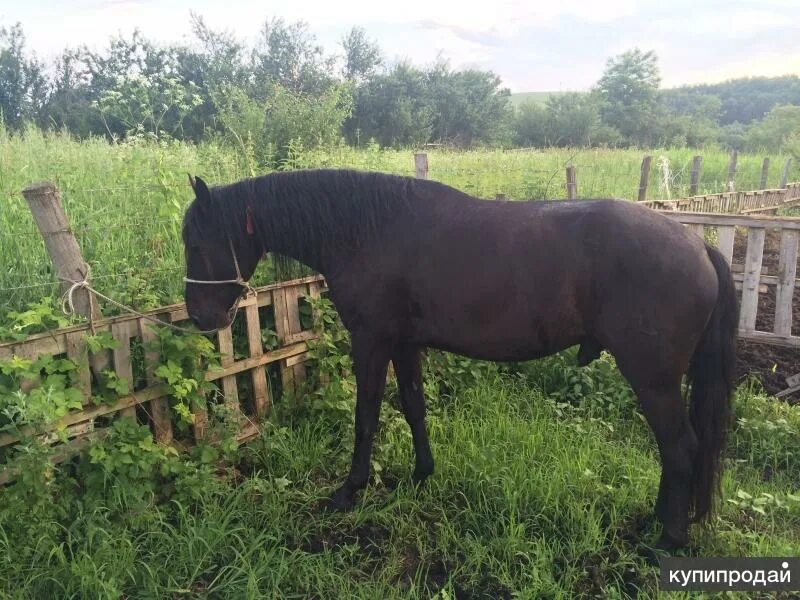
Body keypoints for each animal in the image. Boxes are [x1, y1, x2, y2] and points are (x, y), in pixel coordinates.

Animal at [181, 168, 736, 548]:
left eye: (196, 242)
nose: (200, 317)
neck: (367, 231)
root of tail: (698, 246)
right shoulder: (403, 343)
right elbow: (413, 407)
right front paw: (420, 476)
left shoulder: (371, 341)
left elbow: (366, 418)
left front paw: (348, 492)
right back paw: (657, 523)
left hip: (652, 378)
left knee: (680, 448)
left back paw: (667, 540)